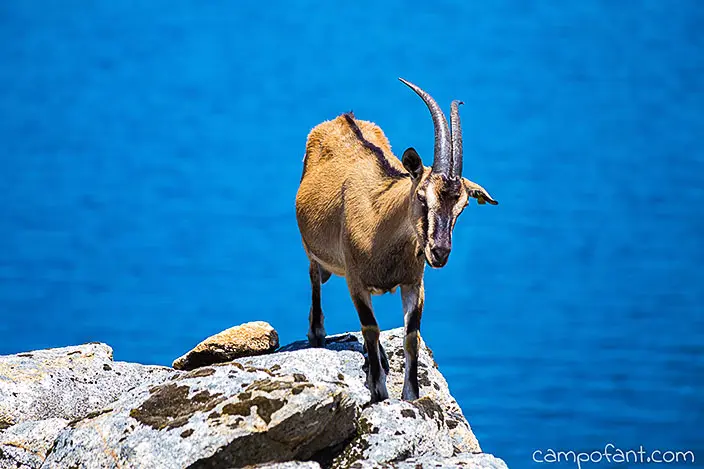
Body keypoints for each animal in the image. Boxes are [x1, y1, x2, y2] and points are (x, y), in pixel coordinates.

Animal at [294, 78, 498, 400]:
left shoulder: (413, 282)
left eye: (463, 206)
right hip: (311, 249)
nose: (439, 252)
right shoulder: (356, 280)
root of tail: (343, 118)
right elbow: (370, 326)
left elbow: (411, 335)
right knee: (314, 278)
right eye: (421, 197)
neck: (379, 223)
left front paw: (410, 394)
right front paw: (379, 391)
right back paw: (318, 333)